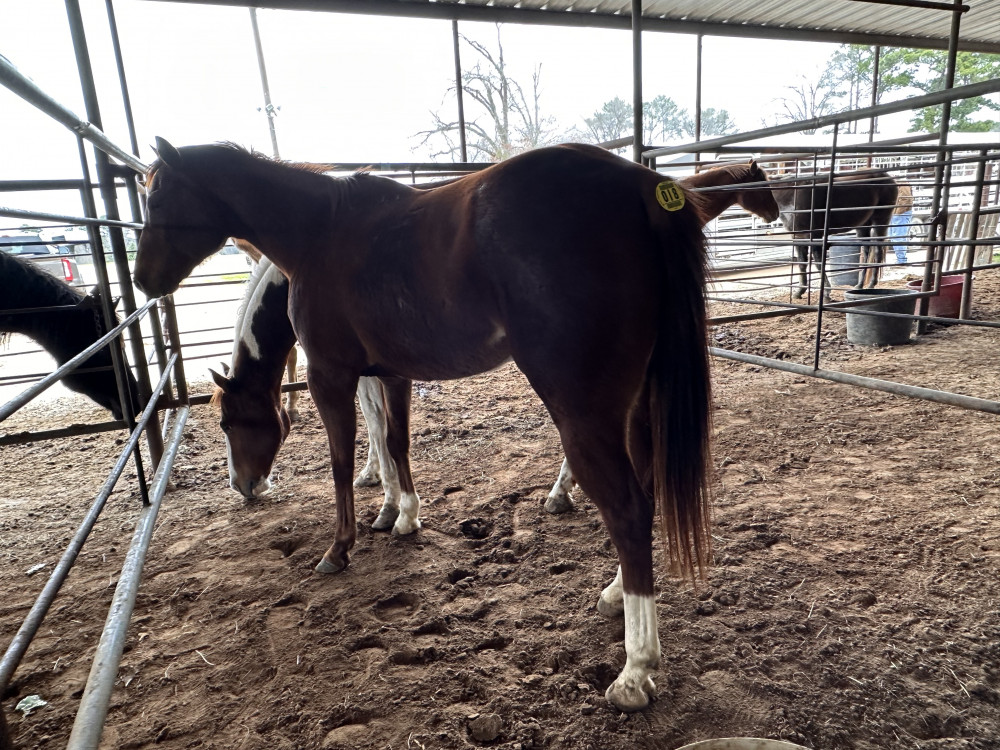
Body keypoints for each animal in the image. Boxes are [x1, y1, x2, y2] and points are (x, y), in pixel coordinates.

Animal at [134, 138, 713, 712]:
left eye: (158, 197)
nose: (142, 280)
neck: (321, 230)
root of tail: (639, 187)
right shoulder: (390, 373)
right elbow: (394, 441)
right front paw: (401, 514)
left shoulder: (330, 376)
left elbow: (343, 460)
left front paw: (340, 547)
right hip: (636, 405)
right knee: (645, 491)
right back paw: (616, 594)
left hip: (583, 409)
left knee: (627, 510)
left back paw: (635, 671)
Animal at [771, 169, 898, 300]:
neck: (791, 195)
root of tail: (889, 178)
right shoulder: (798, 237)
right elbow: (802, 263)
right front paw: (799, 292)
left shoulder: (814, 235)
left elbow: (818, 262)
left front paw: (826, 292)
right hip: (863, 225)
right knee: (866, 251)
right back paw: (860, 285)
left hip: (881, 219)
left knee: (878, 251)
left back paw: (871, 284)